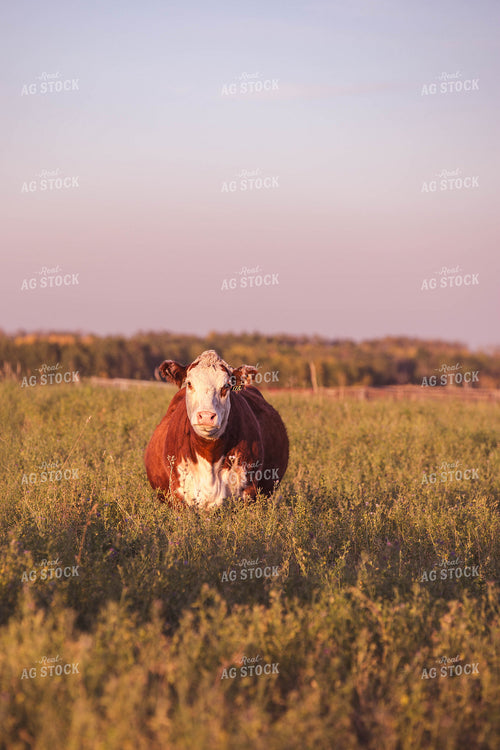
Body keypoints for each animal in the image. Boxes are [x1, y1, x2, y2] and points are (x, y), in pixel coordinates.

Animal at [144, 350, 289, 509]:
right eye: (189, 383)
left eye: (226, 386)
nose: (206, 416)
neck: (209, 454)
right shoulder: (179, 497)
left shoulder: (248, 492)